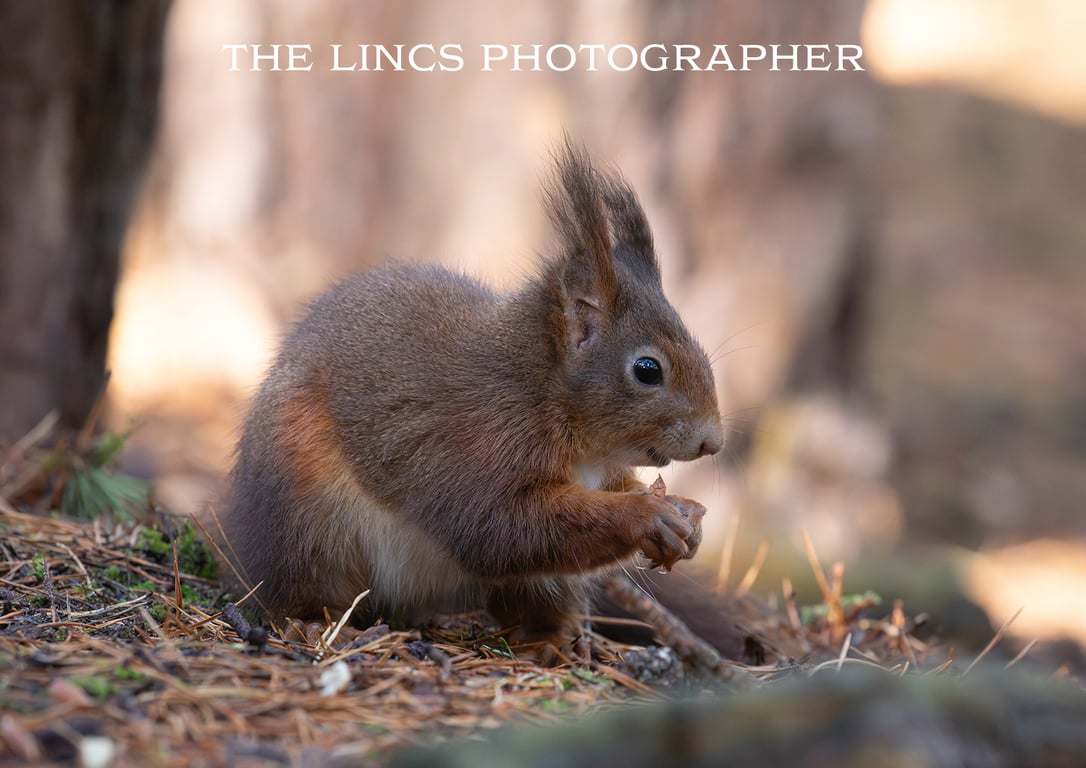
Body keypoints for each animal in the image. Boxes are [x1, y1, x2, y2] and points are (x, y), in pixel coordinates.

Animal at [225, 141, 724, 653]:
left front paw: (686, 511)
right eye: (647, 370)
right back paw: (315, 624)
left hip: (538, 584)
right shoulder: (480, 444)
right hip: (308, 520)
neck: (542, 393)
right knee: (300, 587)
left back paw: (553, 639)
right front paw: (645, 514)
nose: (713, 442)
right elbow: (500, 527)